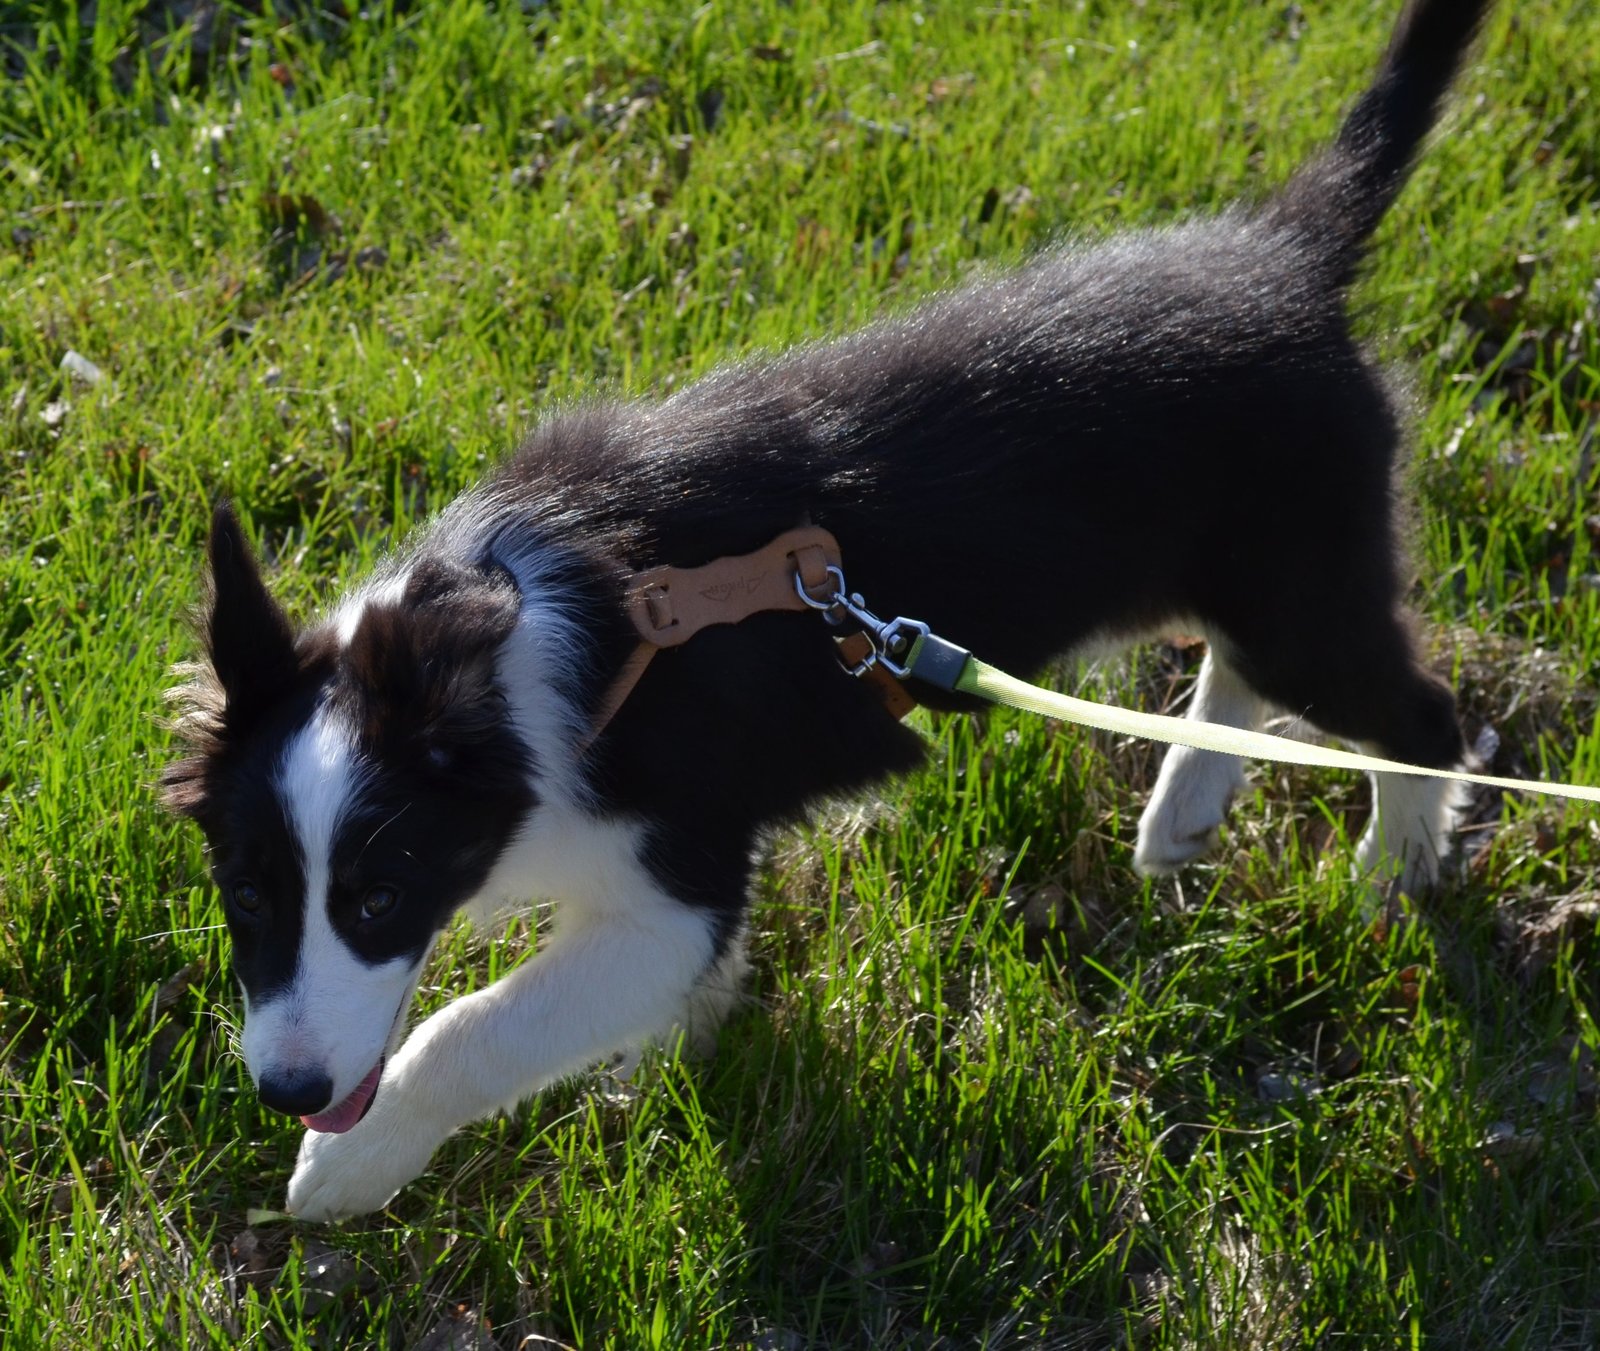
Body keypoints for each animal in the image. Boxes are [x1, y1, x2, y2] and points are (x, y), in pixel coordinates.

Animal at [168, 0, 1491, 1216]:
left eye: (378, 897)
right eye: (248, 893)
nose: (286, 1089)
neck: (505, 637)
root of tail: (1285, 256)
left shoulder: (678, 866)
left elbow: (475, 1028)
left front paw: (346, 1166)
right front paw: (668, 1062)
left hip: (1305, 581)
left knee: (1420, 716)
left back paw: (1387, 876)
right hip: (1256, 576)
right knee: (1248, 667)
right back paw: (1189, 806)